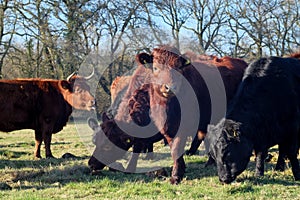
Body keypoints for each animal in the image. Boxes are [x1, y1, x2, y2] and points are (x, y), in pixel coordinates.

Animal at [206, 54, 300, 184]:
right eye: (213, 155)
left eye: (227, 151)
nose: (223, 179)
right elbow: (260, 154)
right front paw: (259, 173)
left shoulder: (292, 128)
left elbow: (291, 152)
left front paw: (297, 175)